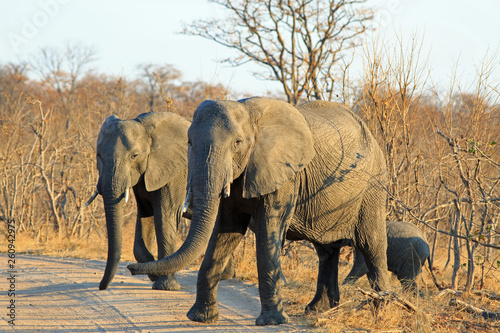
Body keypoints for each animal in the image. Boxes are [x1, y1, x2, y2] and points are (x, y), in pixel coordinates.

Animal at [87, 111, 235, 290]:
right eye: (98, 155)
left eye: (134, 156)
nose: (102, 287)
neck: (144, 127)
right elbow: (145, 215)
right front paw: (153, 273)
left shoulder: (176, 172)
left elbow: (165, 216)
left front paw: (165, 286)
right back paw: (226, 276)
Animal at [128, 96, 390, 324]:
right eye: (189, 142)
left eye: (237, 143)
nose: (130, 268)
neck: (248, 113)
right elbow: (225, 231)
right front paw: (201, 318)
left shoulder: (283, 174)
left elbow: (268, 231)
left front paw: (272, 321)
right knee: (326, 250)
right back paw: (318, 309)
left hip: (372, 186)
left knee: (372, 244)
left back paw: (382, 309)